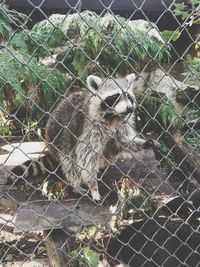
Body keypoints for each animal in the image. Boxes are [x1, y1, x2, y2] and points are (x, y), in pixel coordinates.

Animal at [9, 74, 159, 202]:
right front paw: (93, 187)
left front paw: (144, 142)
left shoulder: (121, 125)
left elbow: (123, 141)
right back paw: (75, 185)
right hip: (59, 136)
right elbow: (87, 158)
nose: (130, 108)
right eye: (115, 96)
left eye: (128, 96)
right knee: (70, 161)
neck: (113, 117)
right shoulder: (91, 129)